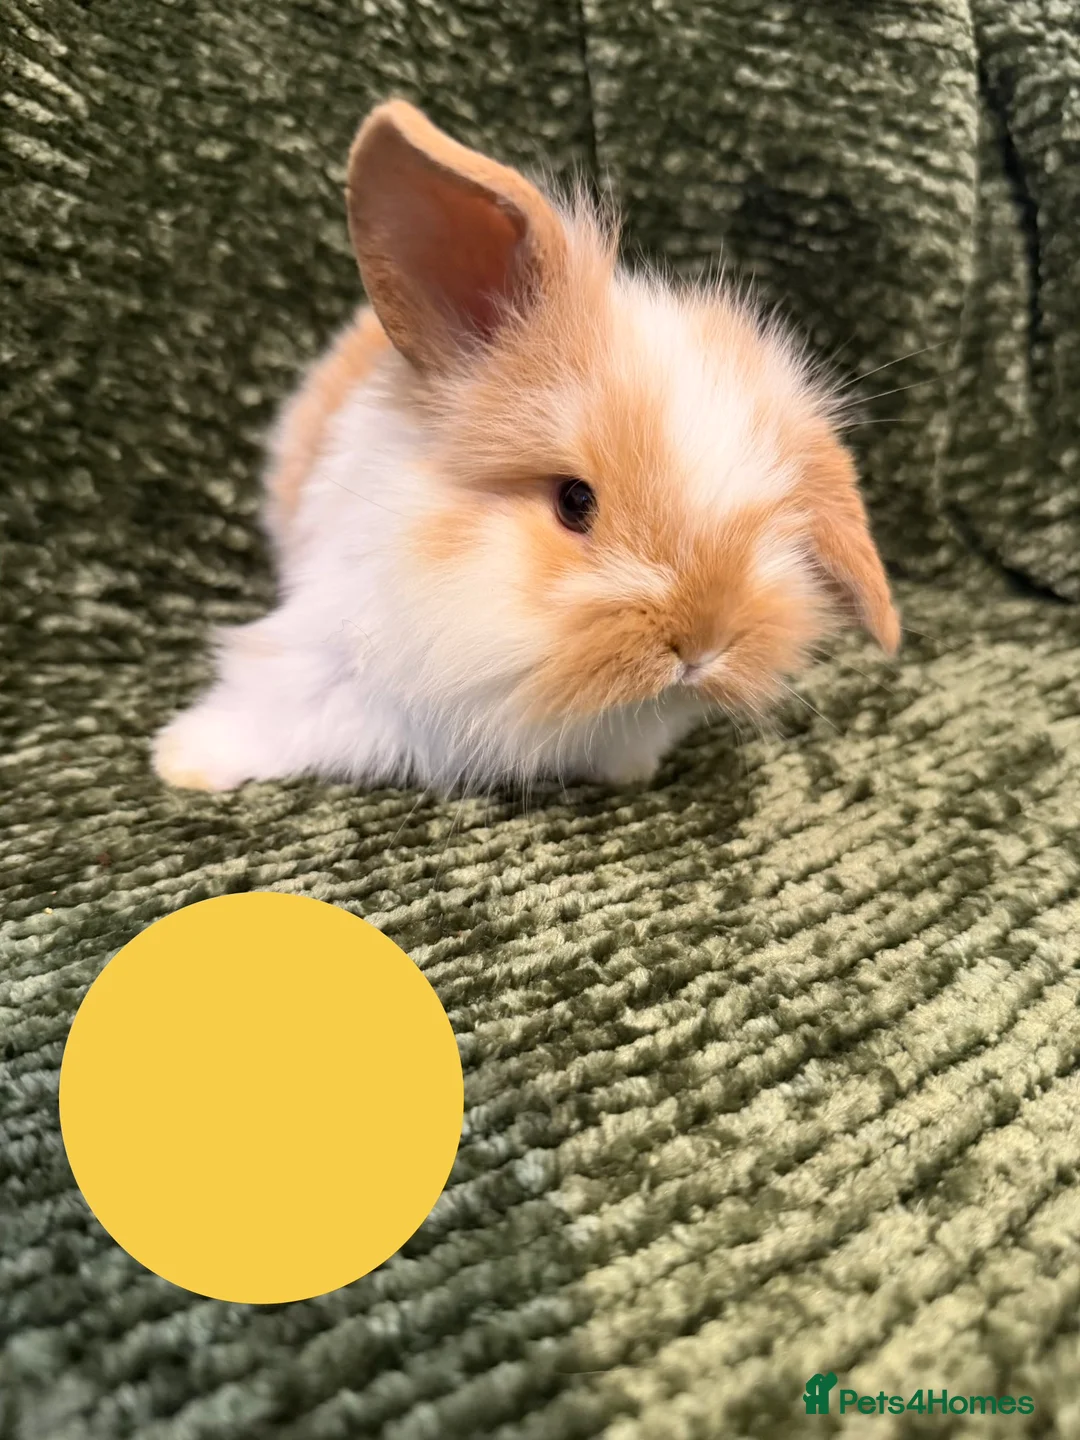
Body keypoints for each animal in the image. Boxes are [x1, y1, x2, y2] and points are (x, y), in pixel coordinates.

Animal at [153, 99, 900, 796]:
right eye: (574, 501)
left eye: (775, 529)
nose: (701, 645)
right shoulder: (314, 653)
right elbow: (266, 709)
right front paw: (181, 762)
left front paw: (630, 770)